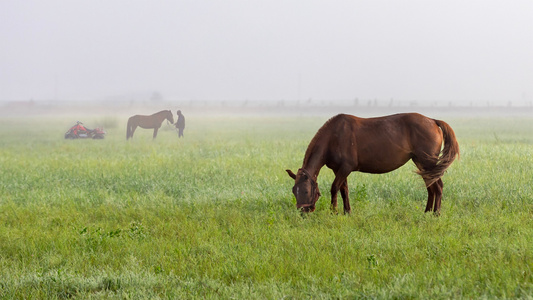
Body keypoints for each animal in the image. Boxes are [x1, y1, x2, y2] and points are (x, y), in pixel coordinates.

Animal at [286, 112, 458, 213]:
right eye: (294, 190)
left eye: (306, 191)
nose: (302, 212)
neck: (334, 137)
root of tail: (433, 121)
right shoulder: (339, 169)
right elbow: (344, 190)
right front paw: (347, 212)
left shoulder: (346, 168)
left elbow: (334, 188)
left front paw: (333, 211)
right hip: (421, 163)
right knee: (431, 186)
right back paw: (427, 211)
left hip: (427, 162)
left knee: (438, 186)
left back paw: (436, 214)